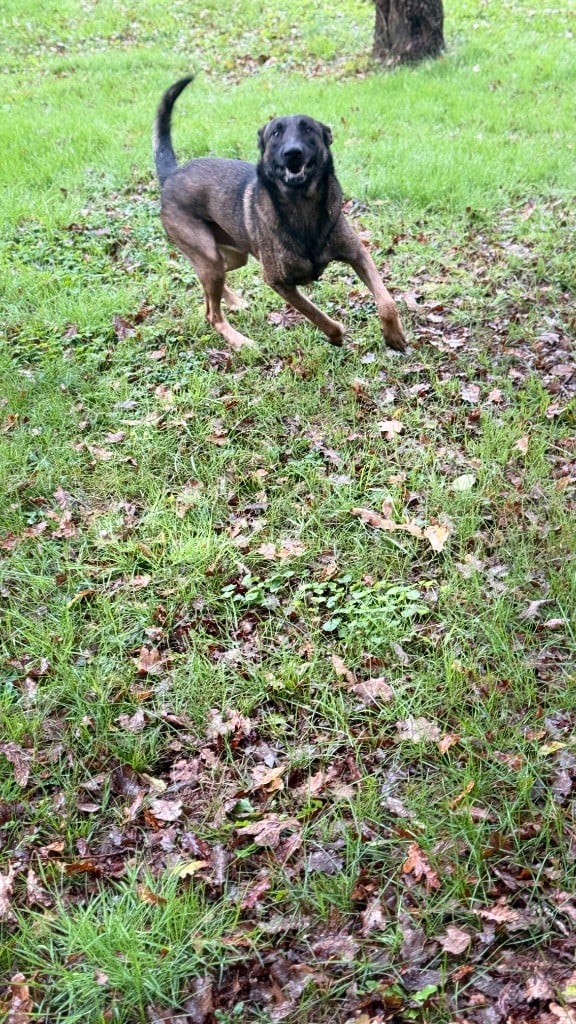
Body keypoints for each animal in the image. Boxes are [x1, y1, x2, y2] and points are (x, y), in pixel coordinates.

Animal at [153, 76, 405, 353]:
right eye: (275, 133)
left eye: (308, 129)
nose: (292, 152)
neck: (302, 205)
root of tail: (172, 174)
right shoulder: (277, 281)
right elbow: (314, 313)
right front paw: (336, 335)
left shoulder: (357, 254)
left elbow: (386, 301)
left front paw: (393, 335)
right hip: (209, 257)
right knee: (212, 314)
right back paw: (241, 341)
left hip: (230, 256)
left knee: (210, 284)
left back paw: (233, 301)